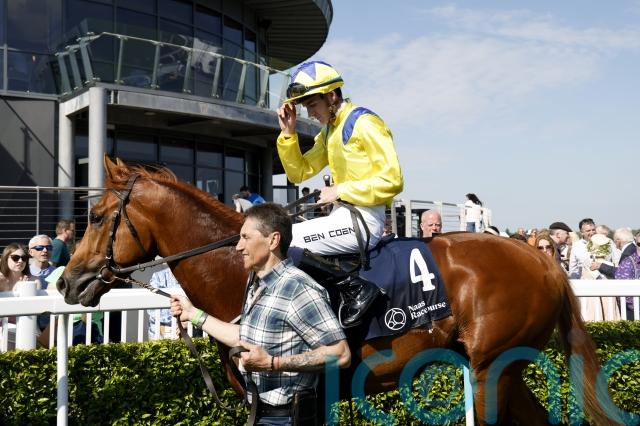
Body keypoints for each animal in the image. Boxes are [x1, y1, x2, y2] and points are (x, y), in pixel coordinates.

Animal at [57, 156, 619, 425]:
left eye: (98, 216)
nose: (67, 281)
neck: (239, 271)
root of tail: (541, 259)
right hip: (507, 368)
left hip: (490, 370)